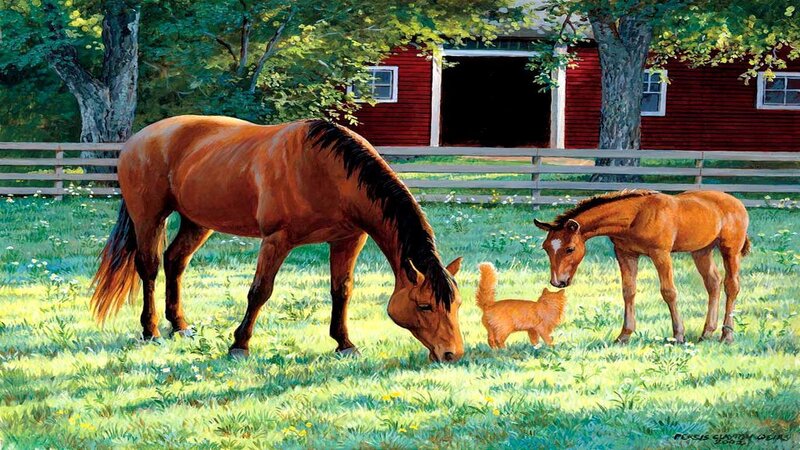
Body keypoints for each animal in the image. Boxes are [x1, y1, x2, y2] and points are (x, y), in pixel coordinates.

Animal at [90, 115, 464, 362]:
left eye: (457, 304)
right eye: (425, 305)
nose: (452, 353)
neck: (327, 170)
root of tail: (138, 139)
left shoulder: (348, 241)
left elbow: (341, 292)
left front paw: (344, 343)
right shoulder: (276, 241)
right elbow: (260, 292)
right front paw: (239, 346)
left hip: (197, 222)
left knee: (175, 261)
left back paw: (180, 325)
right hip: (149, 218)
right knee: (149, 268)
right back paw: (150, 331)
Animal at [534, 190, 750, 344]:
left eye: (570, 249)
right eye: (546, 248)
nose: (558, 282)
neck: (635, 215)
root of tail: (737, 203)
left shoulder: (660, 254)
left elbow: (669, 292)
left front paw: (678, 336)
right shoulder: (626, 254)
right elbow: (628, 291)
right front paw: (624, 335)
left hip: (730, 251)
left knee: (732, 286)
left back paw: (727, 336)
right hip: (701, 252)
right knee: (713, 283)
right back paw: (707, 333)